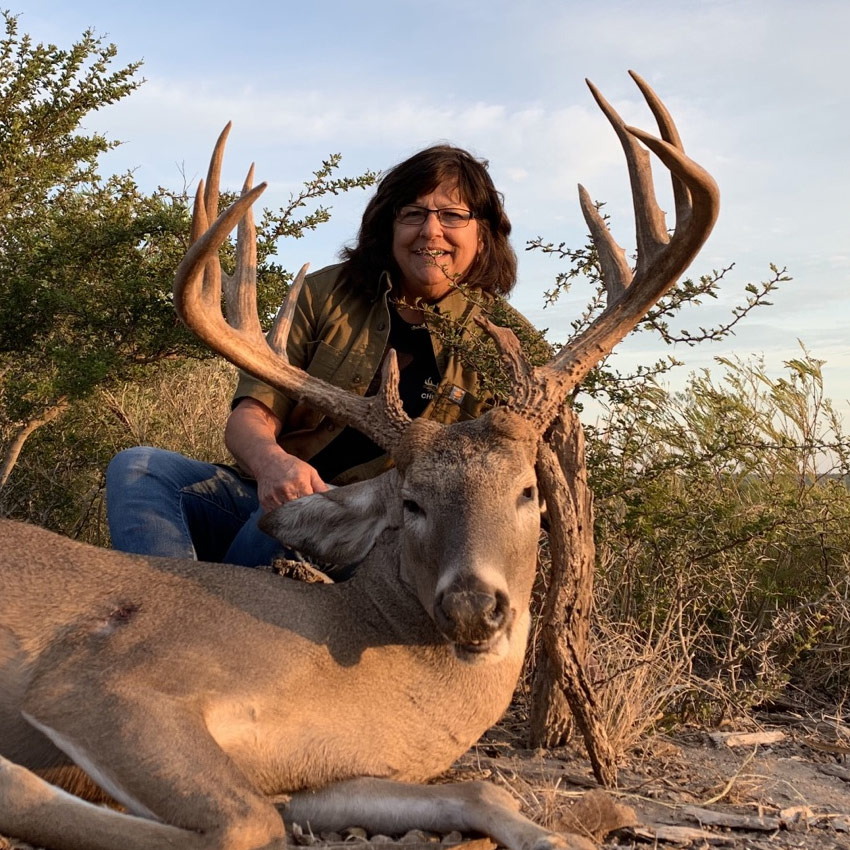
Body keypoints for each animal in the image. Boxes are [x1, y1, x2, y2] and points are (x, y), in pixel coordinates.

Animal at [0, 71, 718, 850]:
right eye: (411, 501)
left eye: (528, 492)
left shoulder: (319, 776)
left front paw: (566, 832)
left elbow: (479, 789)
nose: (473, 607)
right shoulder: (105, 676)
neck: (352, 653)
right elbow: (247, 823)